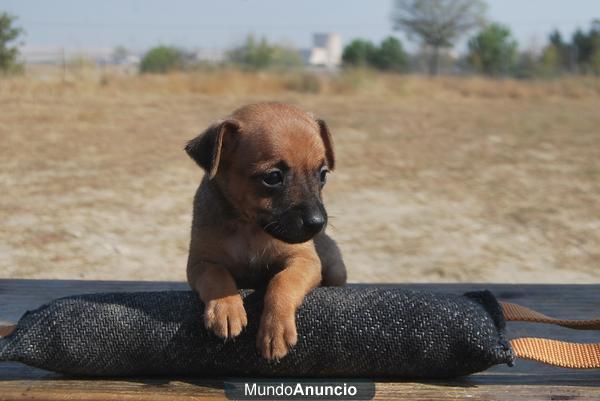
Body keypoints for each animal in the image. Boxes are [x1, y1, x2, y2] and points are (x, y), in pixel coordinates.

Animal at [186, 101, 346, 358]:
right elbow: (216, 276)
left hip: (335, 268)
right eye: (272, 177)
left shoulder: (304, 261)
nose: (318, 223)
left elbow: (282, 281)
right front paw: (225, 308)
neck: (249, 228)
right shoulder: (201, 263)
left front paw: (275, 329)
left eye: (322, 175)